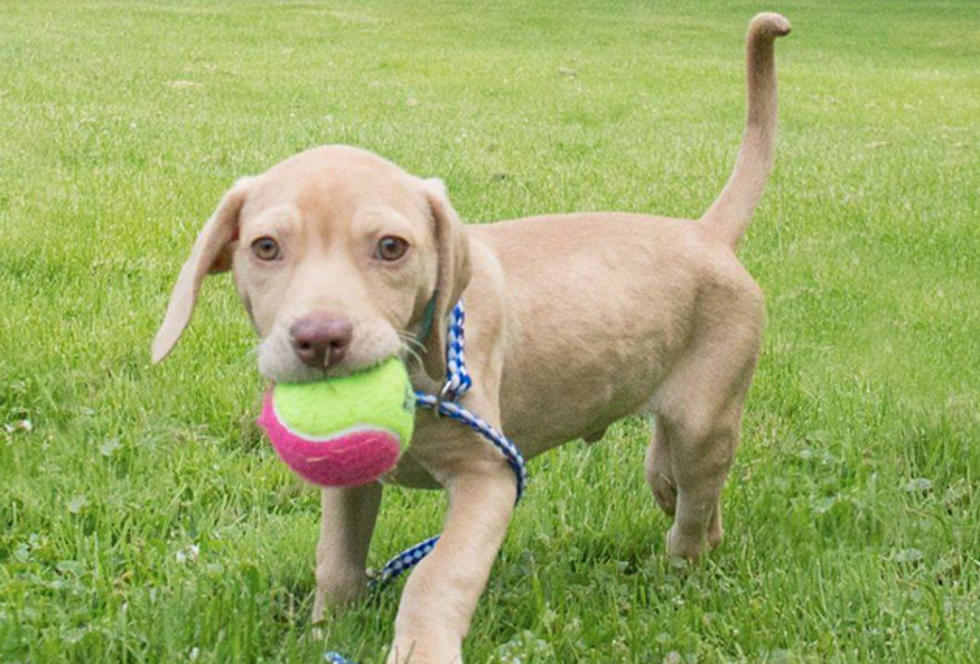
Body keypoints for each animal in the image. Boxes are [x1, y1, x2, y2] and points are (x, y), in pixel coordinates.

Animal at [155, 13, 796, 660]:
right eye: (265, 247)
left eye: (392, 247)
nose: (320, 340)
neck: (420, 367)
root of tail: (706, 233)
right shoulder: (352, 481)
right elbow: (335, 561)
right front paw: (326, 632)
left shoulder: (490, 477)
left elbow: (438, 574)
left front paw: (421, 647)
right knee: (684, 488)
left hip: (705, 418)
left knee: (692, 507)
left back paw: (681, 570)